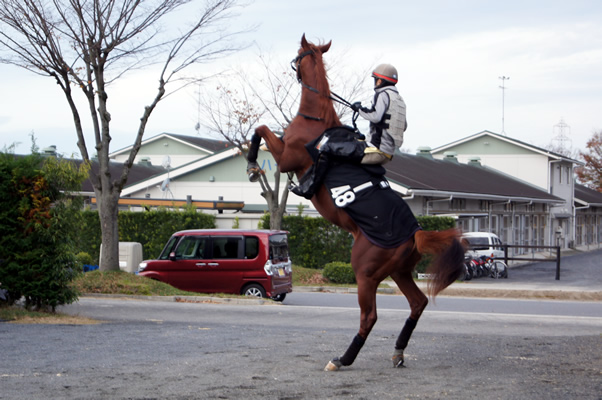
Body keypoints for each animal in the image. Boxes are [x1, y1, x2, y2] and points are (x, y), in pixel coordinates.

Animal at [246, 35, 462, 372]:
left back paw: (342, 358)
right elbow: (260, 128)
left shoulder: (287, 158)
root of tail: (415, 232)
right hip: (399, 272)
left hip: (365, 274)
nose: (292, 65)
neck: (317, 123)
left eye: (298, 54)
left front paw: (252, 163)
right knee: (417, 303)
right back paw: (397, 352)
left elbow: (260, 129)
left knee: (369, 316)